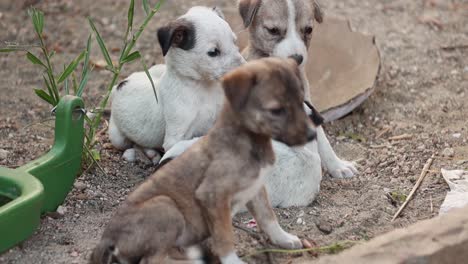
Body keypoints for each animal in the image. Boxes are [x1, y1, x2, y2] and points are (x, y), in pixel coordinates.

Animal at [89, 57, 316, 264]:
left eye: (300, 102)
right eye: (276, 110)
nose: (313, 134)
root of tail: (106, 239)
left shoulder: (256, 189)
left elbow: (268, 217)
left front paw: (284, 239)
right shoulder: (212, 196)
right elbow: (225, 237)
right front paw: (233, 261)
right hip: (165, 206)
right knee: (152, 260)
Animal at [107, 5, 243, 163]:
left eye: (235, 42)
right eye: (213, 52)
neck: (203, 89)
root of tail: (118, 87)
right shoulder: (175, 138)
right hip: (118, 138)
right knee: (134, 143)